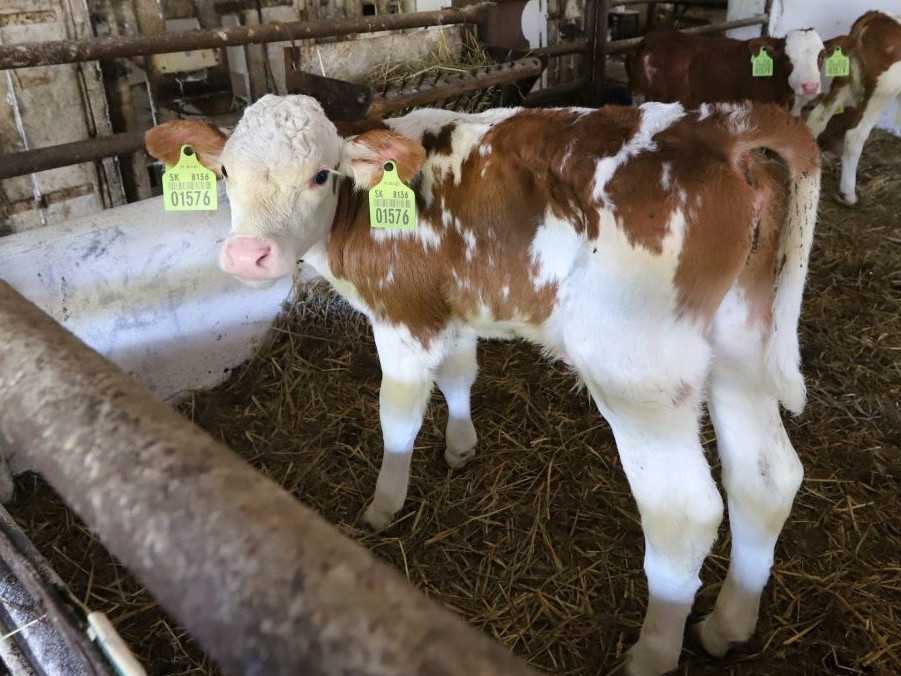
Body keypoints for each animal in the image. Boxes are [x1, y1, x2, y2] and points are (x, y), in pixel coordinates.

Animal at [144, 96, 820, 676]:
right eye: (225, 171)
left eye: (318, 175)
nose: (247, 255)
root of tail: (720, 125)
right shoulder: (451, 308)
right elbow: (460, 372)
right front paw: (461, 445)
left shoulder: (402, 317)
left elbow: (398, 415)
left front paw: (383, 505)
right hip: (738, 346)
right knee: (765, 479)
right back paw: (728, 624)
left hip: (640, 373)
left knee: (684, 512)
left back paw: (652, 654)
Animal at [804, 10, 896, 205]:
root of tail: (876, 16)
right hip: (882, 91)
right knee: (855, 135)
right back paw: (848, 193)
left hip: (844, 80)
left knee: (818, 117)